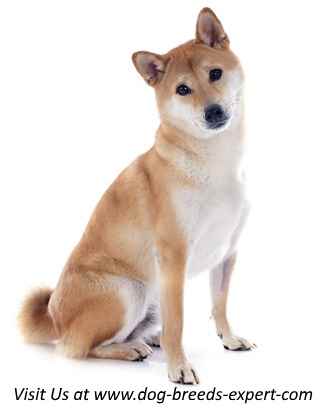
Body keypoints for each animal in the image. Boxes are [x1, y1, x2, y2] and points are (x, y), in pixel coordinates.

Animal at [19, 7, 255, 382]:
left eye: (215, 74)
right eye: (183, 89)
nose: (214, 112)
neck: (214, 160)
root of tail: (55, 316)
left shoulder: (228, 251)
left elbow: (219, 304)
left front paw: (229, 339)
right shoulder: (174, 257)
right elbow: (178, 323)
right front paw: (180, 367)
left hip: (150, 299)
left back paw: (148, 338)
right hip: (130, 290)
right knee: (78, 347)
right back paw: (130, 348)